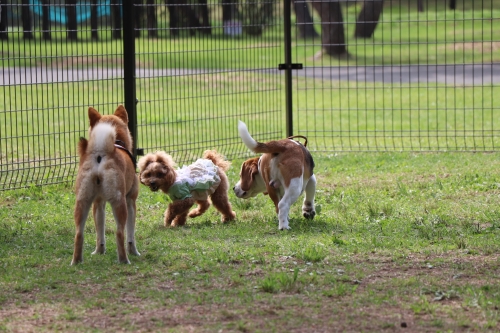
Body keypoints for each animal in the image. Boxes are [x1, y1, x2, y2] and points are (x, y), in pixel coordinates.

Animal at [71, 105, 140, 264]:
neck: (118, 142)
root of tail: (100, 154)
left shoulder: (98, 203)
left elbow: (100, 234)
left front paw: (99, 252)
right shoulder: (130, 201)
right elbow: (131, 235)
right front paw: (134, 252)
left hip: (82, 202)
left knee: (79, 234)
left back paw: (76, 262)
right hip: (119, 203)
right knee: (119, 233)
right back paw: (124, 260)